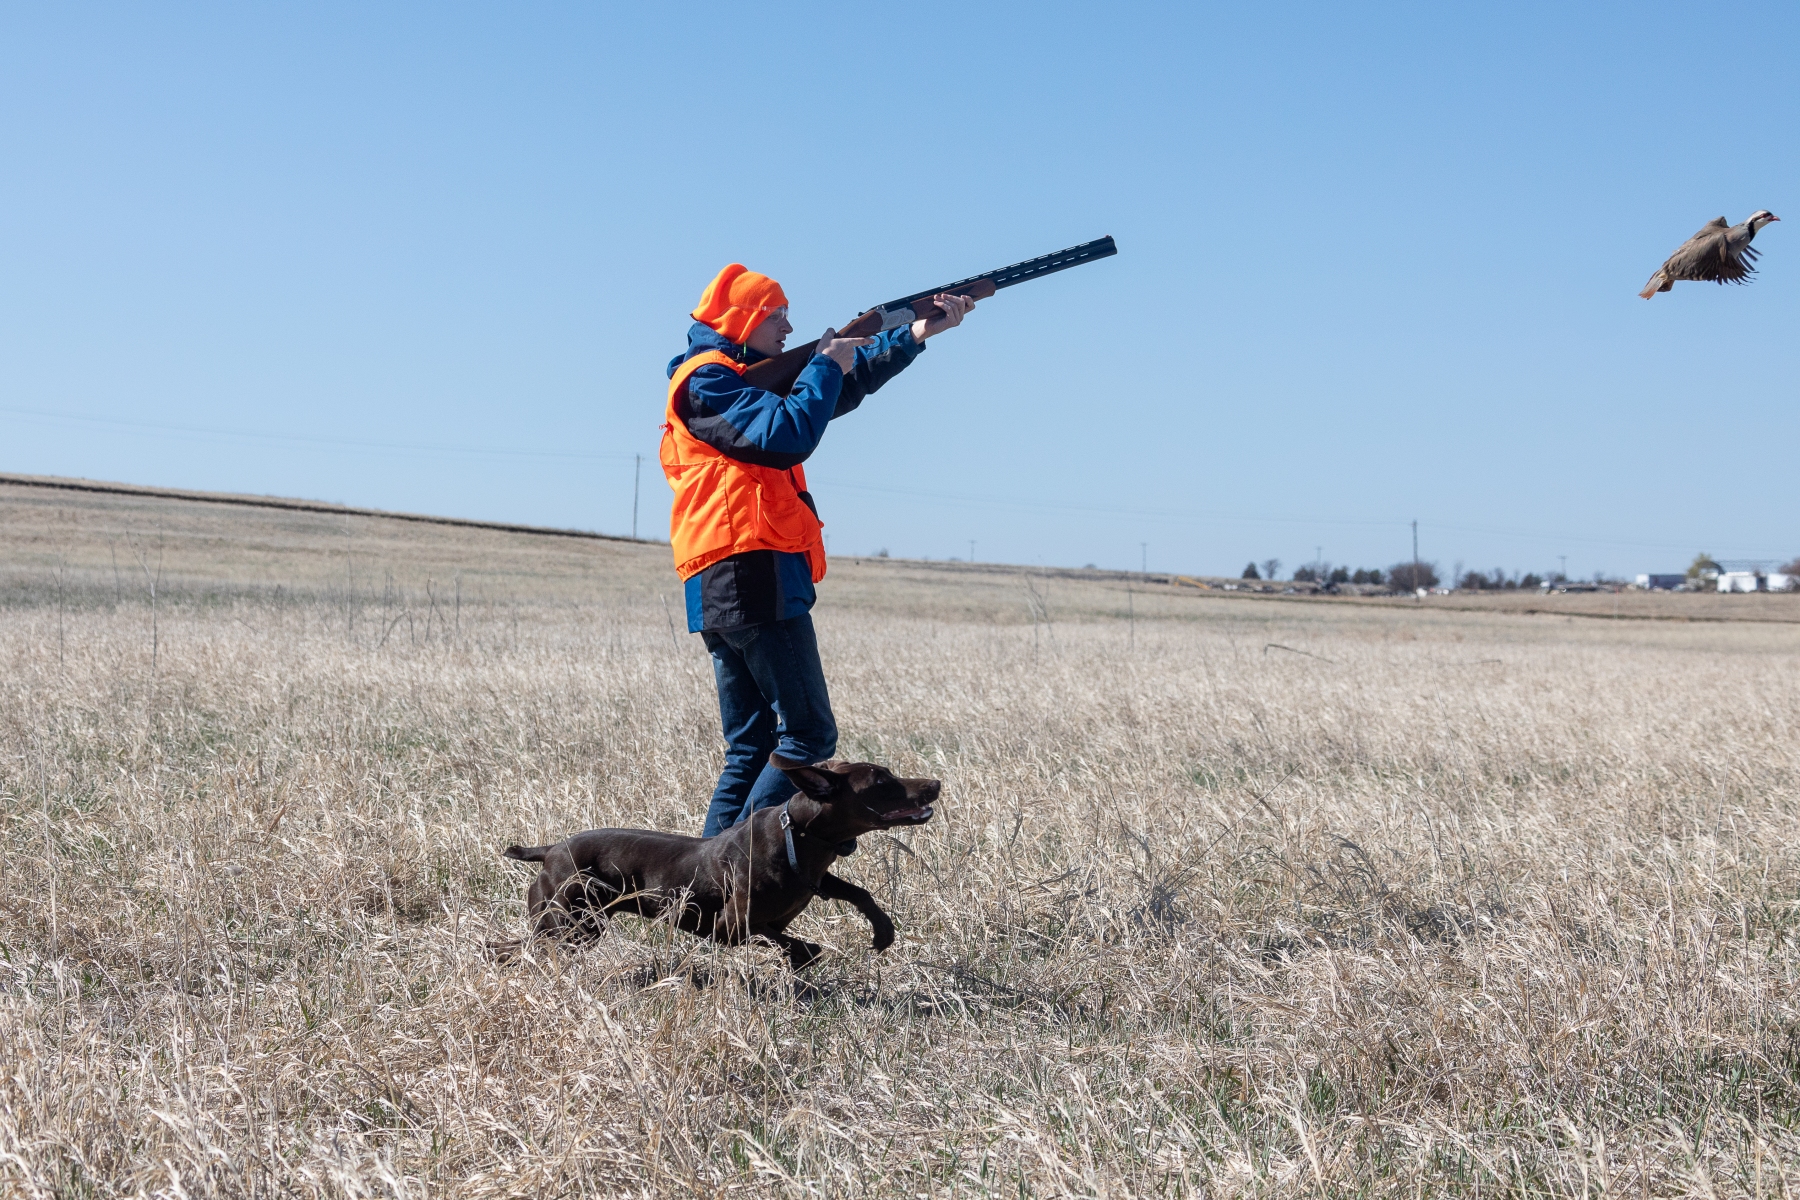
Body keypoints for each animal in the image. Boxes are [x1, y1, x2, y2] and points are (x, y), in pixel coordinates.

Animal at [499, 755, 938, 969]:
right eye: (881, 781)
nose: (935, 783)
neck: (799, 835)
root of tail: (549, 849)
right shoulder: (731, 927)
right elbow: (802, 946)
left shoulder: (816, 878)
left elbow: (857, 892)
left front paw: (882, 931)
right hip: (573, 924)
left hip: (572, 925)